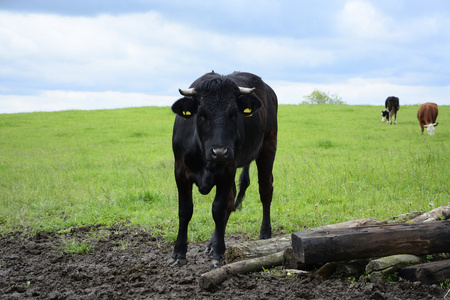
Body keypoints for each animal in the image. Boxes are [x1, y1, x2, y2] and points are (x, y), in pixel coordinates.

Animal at [170, 71, 278, 266]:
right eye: (202, 114)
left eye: (233, 114)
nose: (219, 152)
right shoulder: (180, 171)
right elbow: (185, 210)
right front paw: (179, 252)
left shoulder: (227, 171)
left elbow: (218, 209)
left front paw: (219, 253)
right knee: (232, 198)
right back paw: (212, 243)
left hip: (268, 147)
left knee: (265, 190)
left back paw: (265, 233)